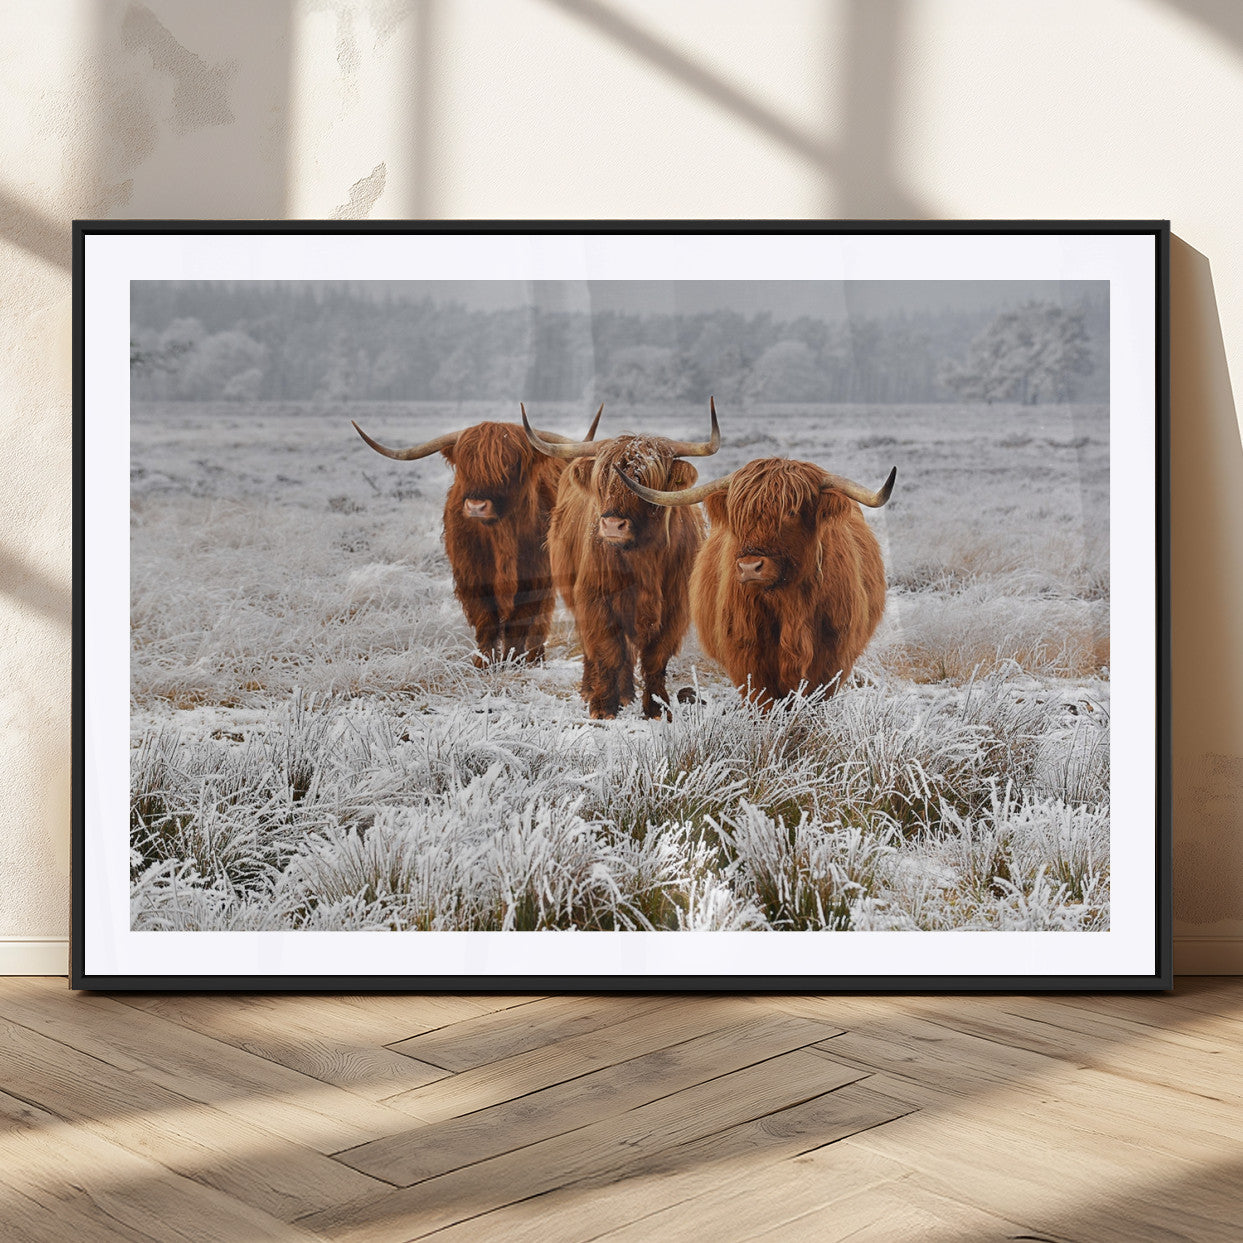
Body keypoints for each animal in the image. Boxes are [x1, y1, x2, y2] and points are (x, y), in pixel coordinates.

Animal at [352, 408, 601, 666]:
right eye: (465, 466)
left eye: (510, 465)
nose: (476, 506)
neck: (501, 537)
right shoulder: (471, 574)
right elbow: (485, 619)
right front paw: (484, 663)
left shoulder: (535, 574)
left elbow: (520, 620)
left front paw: (513, 660)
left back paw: (535, 657)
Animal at [522, 400, 721, 719]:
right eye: (602, 480)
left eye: (645, 481)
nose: (613, 525)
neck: (643, 560)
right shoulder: (595, 599)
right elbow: (608, 652)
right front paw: (603, 707)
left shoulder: (675, 607)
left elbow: (655, 658)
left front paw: (657, 708)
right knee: (597, 649)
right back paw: (593, 690)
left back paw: (627, 694)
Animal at [618, 453, 896, 707]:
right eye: (738, 514)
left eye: (791, 511)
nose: (749, 567)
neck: (790, 604)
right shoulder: (748, 657)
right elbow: (764, 702)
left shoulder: (832, 657)